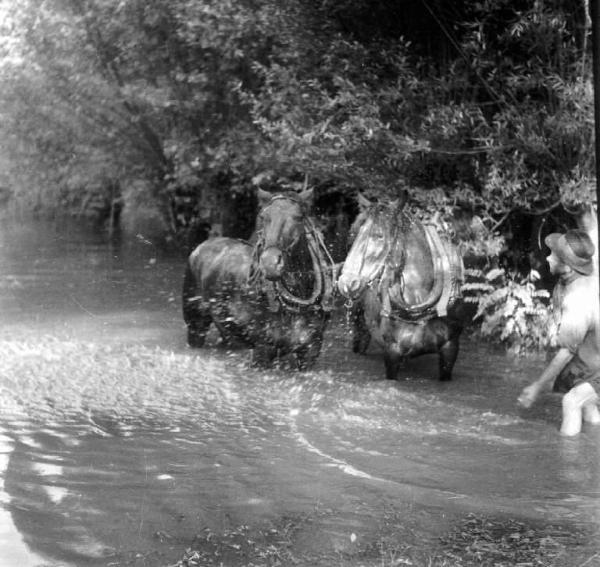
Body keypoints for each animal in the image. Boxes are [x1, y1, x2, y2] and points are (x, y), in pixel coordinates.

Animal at [182, 189, 338, 370]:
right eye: (263, 216)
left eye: (299, 217)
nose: (270, 263)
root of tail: (200, 247)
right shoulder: (262, 350)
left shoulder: (311, 350)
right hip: (195, 324)